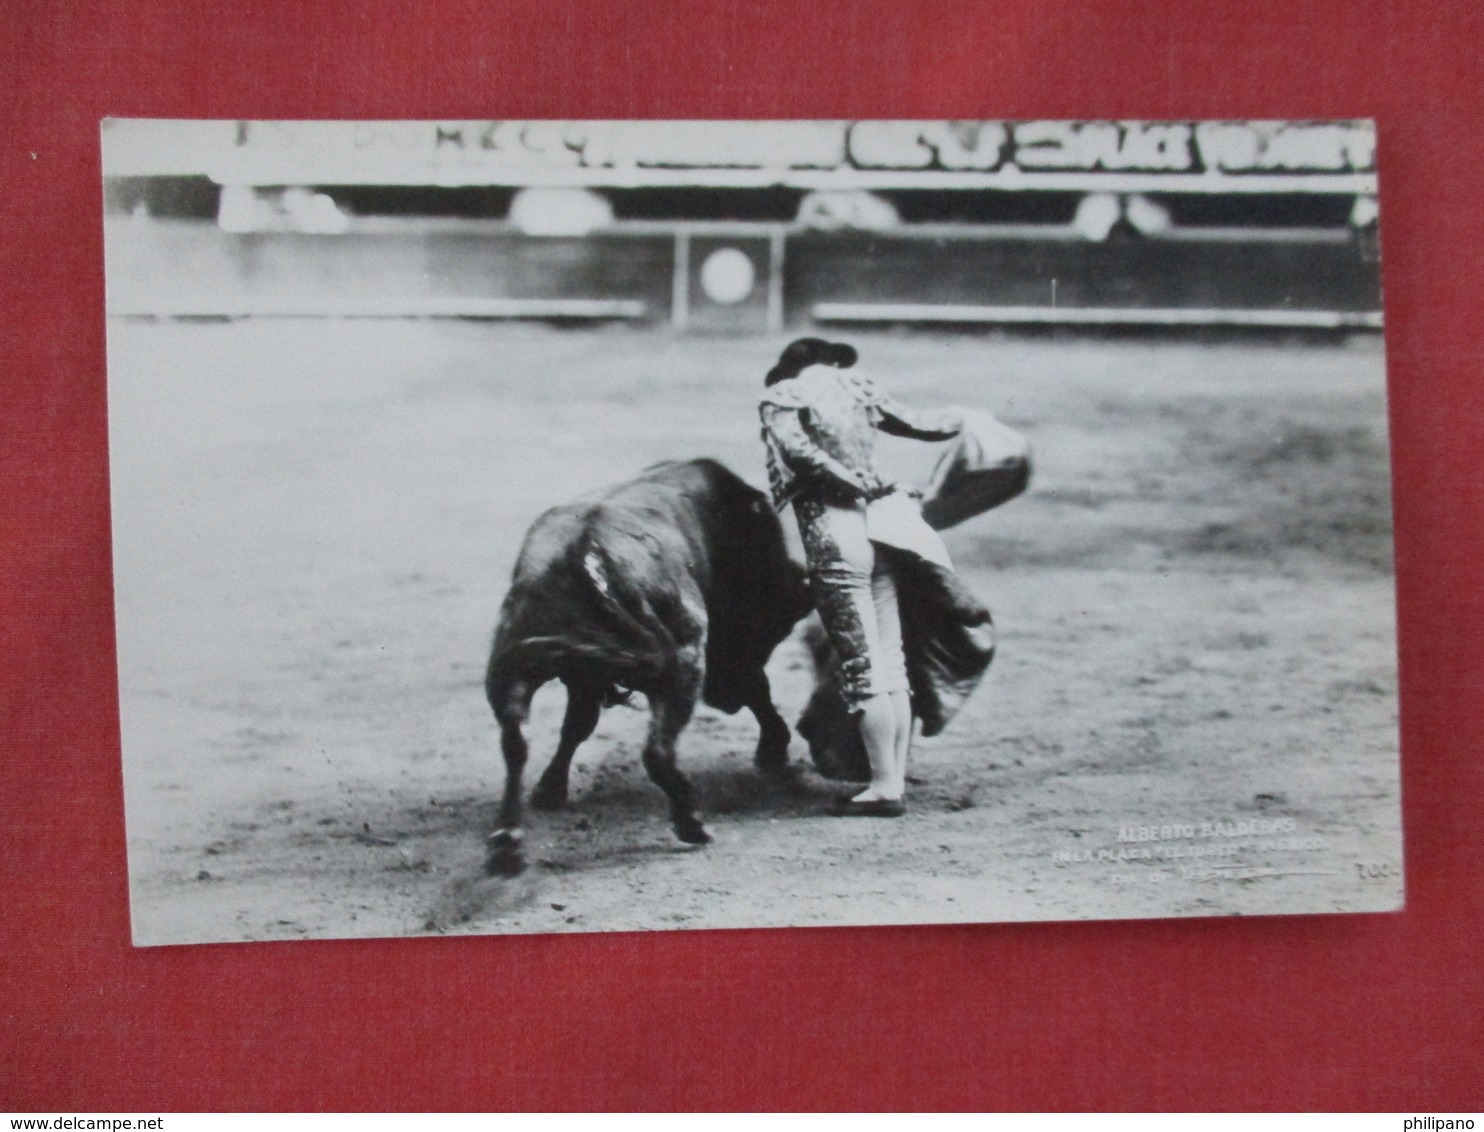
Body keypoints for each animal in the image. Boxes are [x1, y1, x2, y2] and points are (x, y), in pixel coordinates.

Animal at [483, 459, 813, 878]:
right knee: (657, 750)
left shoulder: (584, 678)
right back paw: (692, 822)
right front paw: (773, 745)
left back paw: (507, 842)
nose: (802, 584)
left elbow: (576, 726)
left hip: (512, 667)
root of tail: (584, 551)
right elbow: (759, 689)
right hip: (683, 660)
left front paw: (549, 789)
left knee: (515, 742)